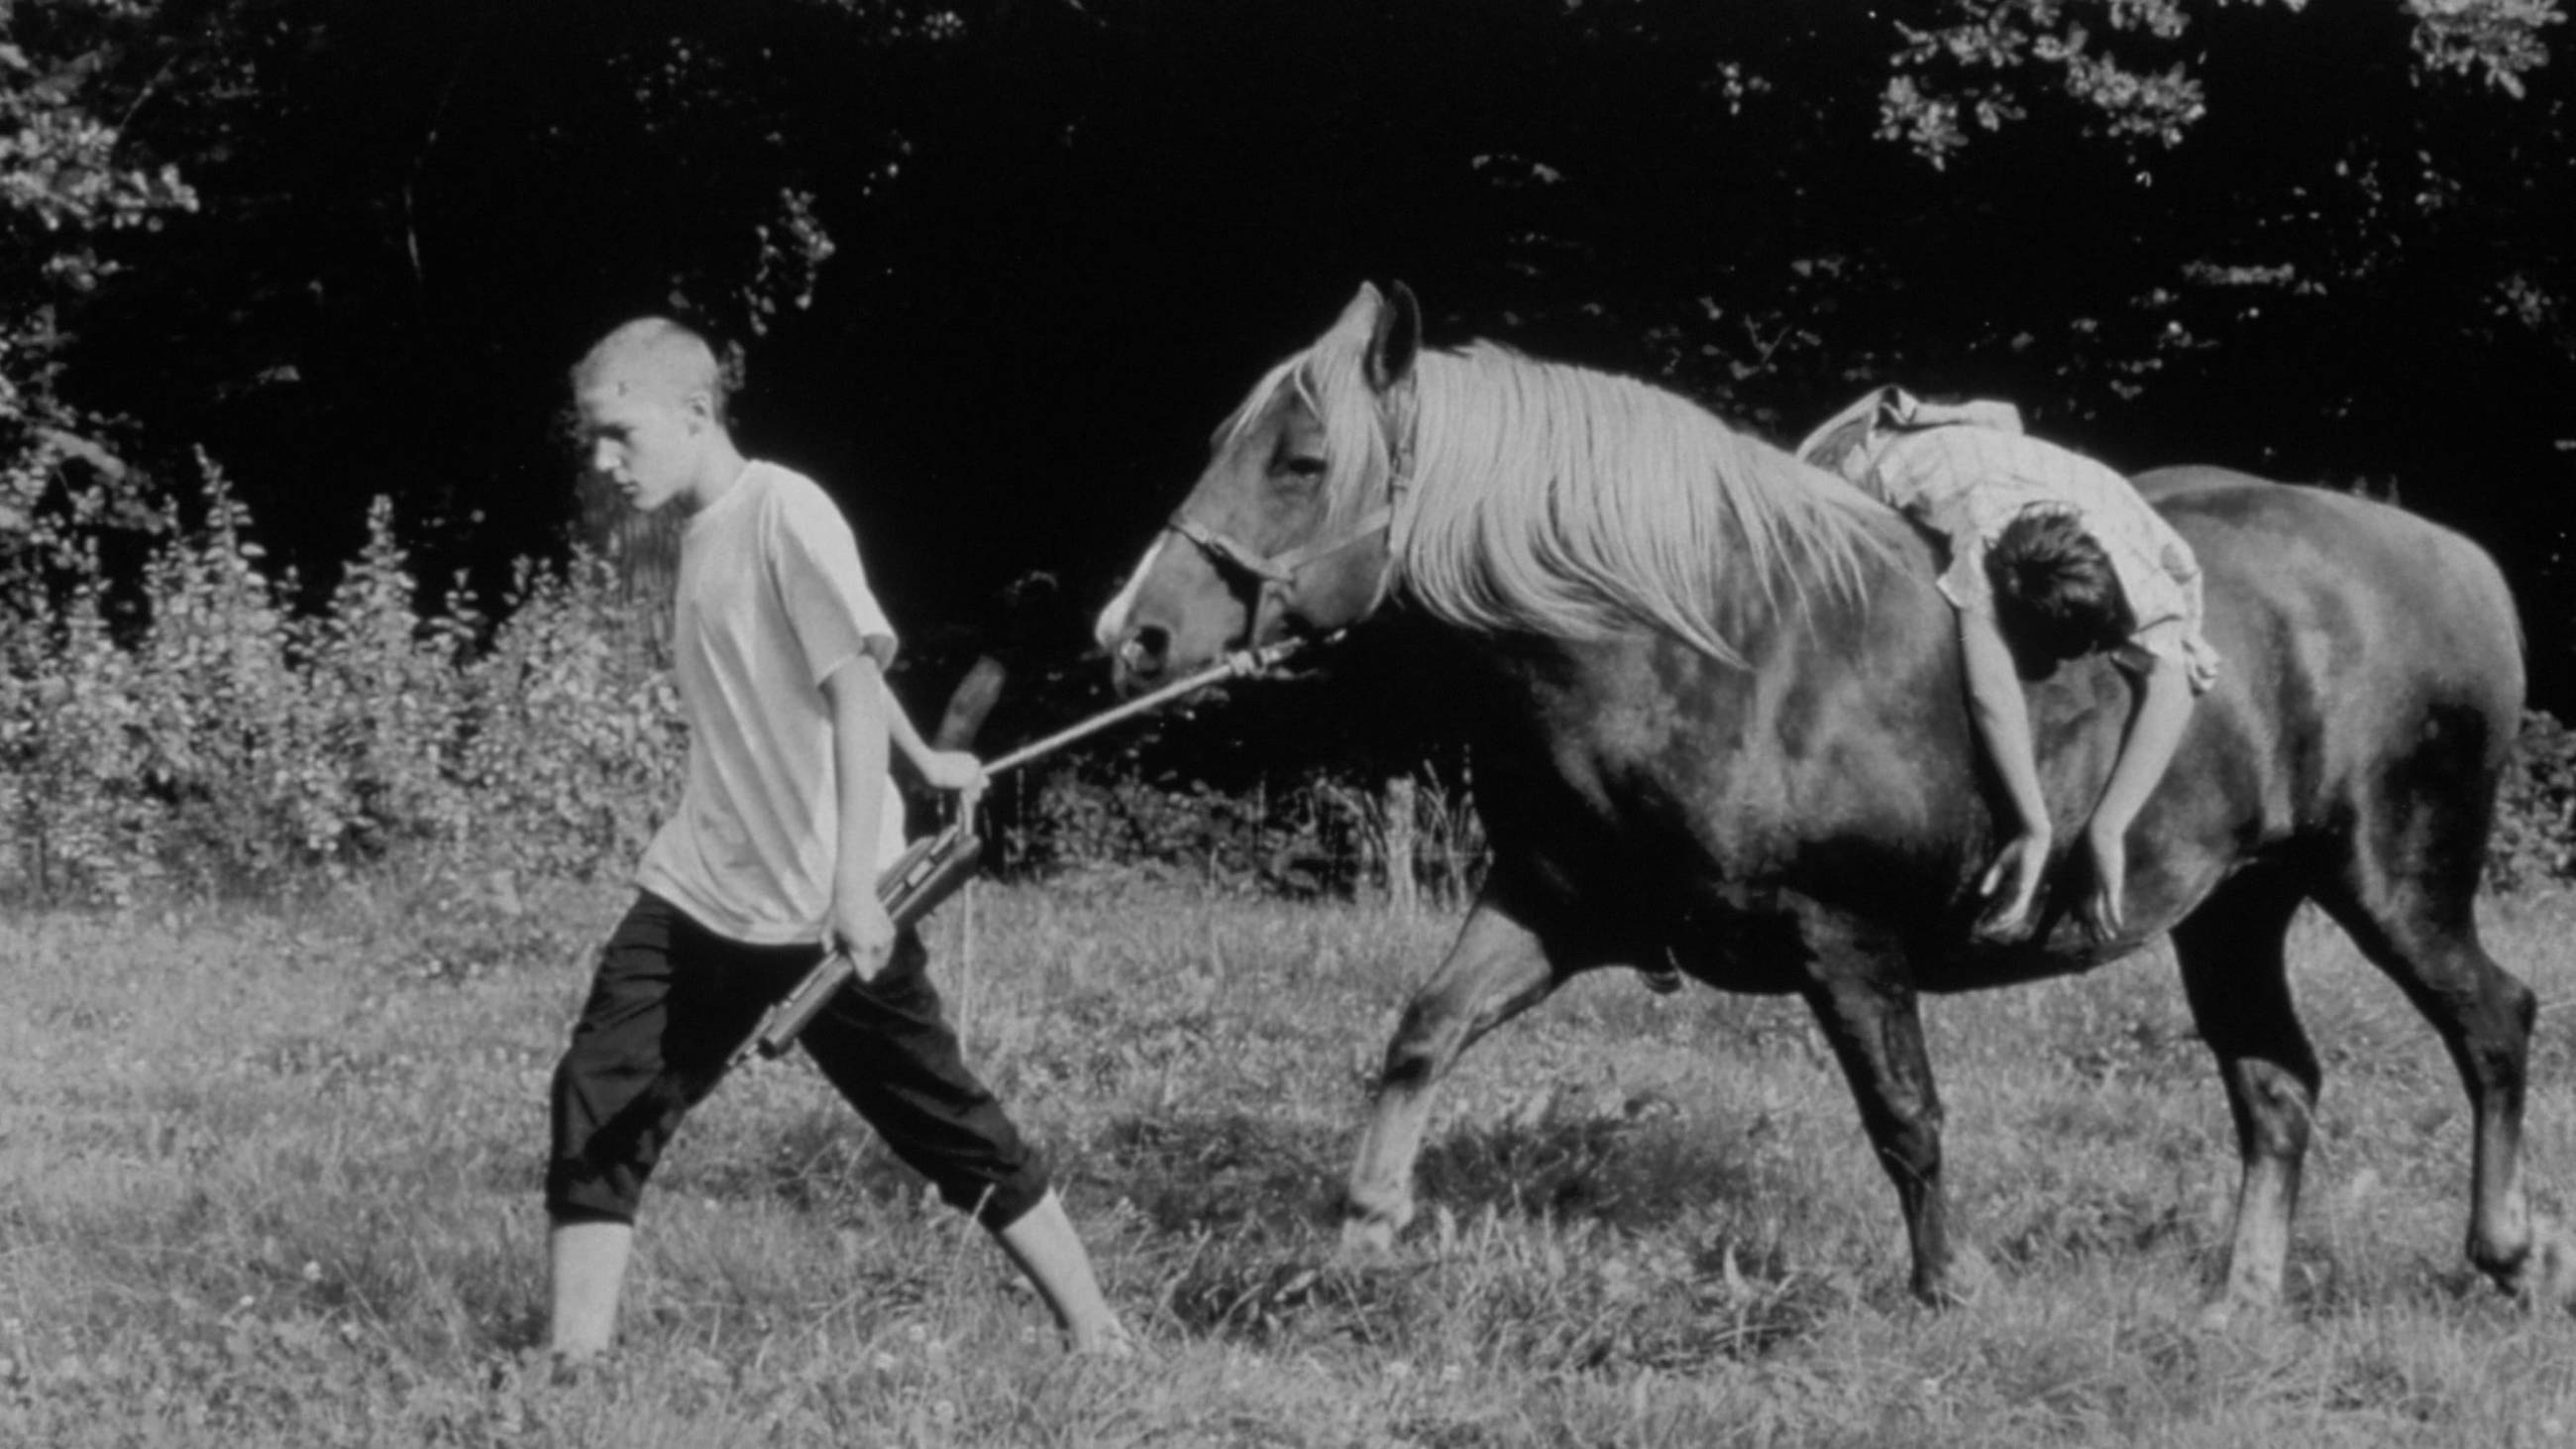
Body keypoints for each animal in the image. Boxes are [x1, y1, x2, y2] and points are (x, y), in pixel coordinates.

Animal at [1092, 281, 2576, 1319]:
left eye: (1299, 460)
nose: (1136, 633)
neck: (1703, 649)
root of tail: (2461, 563)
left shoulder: (1843, 939)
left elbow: (1906, 1118)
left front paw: (1948, 1285)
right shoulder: (1551, 907)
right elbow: (1421, 1033)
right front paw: (1362, 1223)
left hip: (2392, 881)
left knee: (2492, 1023)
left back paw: (2507, 1251)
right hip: (2235, 911)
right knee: (2276, 1085)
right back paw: (2238, 1299)